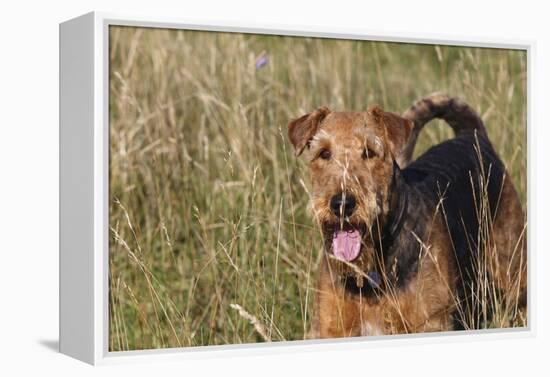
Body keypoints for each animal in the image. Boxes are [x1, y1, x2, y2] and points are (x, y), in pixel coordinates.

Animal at [288, 92, 528, 336]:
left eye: (369, 152)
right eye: (324, 153)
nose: (342, 204)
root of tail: (473, 136)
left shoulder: (428, 322)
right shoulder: (332, 326)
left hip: (512, 264)